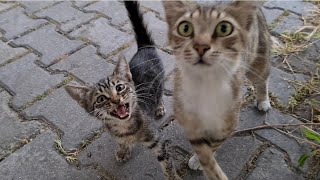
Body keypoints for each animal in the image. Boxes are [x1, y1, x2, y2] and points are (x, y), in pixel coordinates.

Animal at [65, 1, 180, 179]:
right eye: (101, 99)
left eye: (120, 88)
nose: (116, 99)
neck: (124, 128)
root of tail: (144, 48)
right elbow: (122, 143)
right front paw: (124, 150)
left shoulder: (156, 139)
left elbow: (166, 161)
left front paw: (172, 175)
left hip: (160, 80)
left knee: (160, 93)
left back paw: (159, 106)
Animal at [162, 0, 270, 179]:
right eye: (185, 28)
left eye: (224, 28)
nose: (201, 46)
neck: (206, 86)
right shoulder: (188, 118)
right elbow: (202, 148)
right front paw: (202, 160)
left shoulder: (227, 125)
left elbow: (213, 146)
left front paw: (201, 162)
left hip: (258, 60)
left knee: (263, 78)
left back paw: (263, 100)